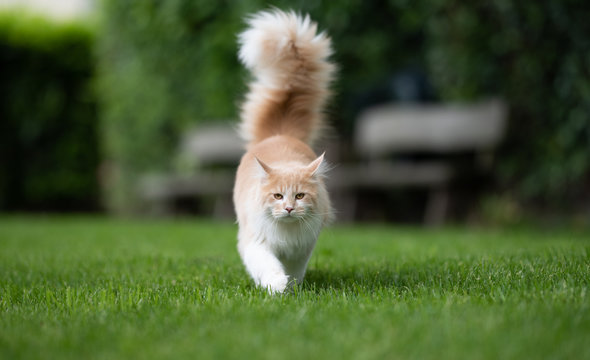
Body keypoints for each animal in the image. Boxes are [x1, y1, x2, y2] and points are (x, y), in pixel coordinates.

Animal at [235, 9, 338, 294]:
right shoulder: (255, 241)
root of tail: (279, 133)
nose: (290, 208)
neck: (287, 234)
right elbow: (269, 265)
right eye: (278, 196)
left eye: (300, 195)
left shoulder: (301, 249)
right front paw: (276, 285)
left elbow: (293, 270)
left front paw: (291, 288)